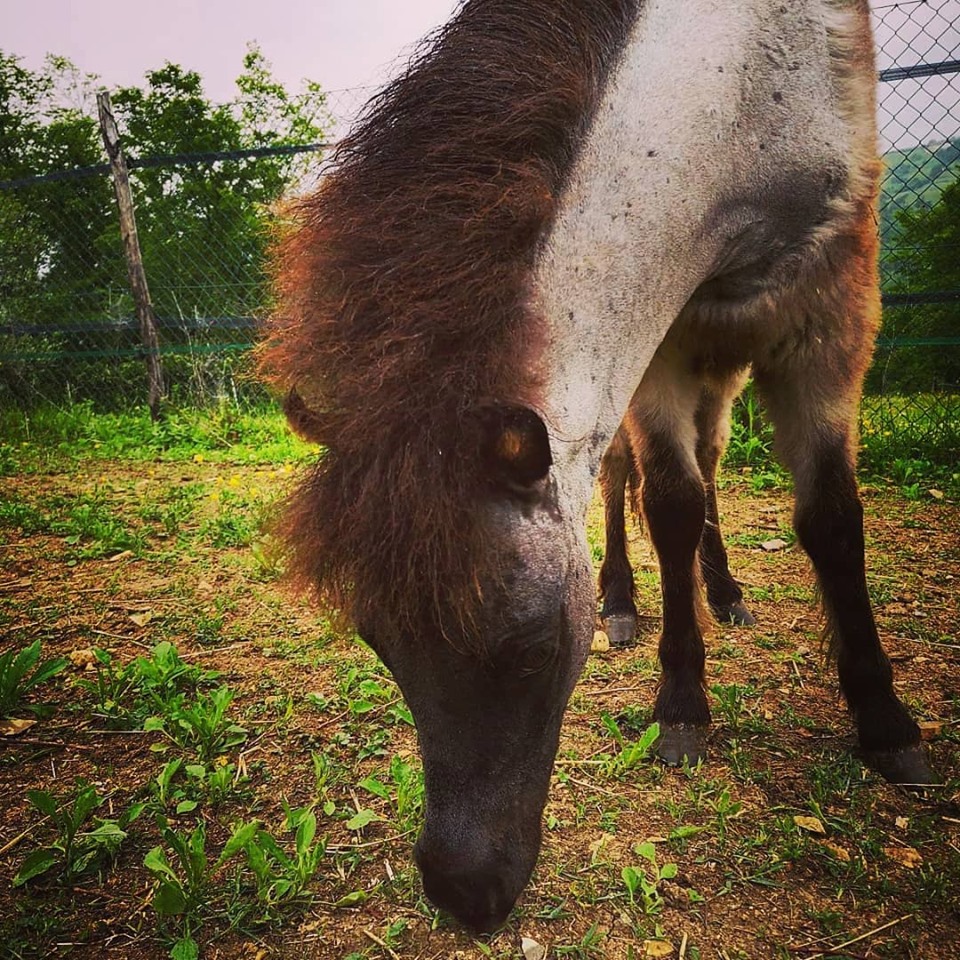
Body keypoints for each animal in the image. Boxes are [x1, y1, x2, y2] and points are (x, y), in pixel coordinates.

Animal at [260, 0, 936, 933]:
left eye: (529, 649)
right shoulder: (660, 341)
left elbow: (828, 519)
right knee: (627, 481)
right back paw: (622, 599)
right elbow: (670, 504)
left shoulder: (833, 312)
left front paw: (886, 723)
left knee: (710, 464)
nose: (464, 895)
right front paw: (682, 704)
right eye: (379, 643)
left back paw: (726, 590)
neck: (740, 99)